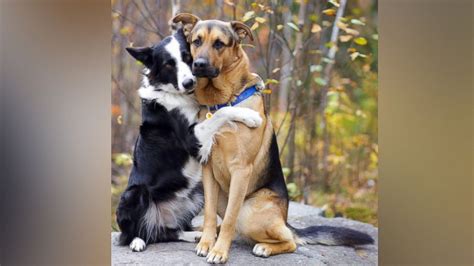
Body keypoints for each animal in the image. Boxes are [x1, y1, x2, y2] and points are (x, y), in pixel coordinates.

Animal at [116, 29, 262, 251]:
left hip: (198, 192)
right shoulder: (192, 139)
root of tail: (158, 219)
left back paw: (192, 235)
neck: (176, 94)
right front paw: (250, 116)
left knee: (167, 232)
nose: (189, 83)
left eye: (187, 57)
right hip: (132, 194)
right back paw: (137, 241)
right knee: (133, 233)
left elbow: (221, 110)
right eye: (168, 64)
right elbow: (222, 112)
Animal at [173, 13, 374, 264]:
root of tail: (284, 218)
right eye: (197, 41)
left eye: (219, 44)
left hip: (250, 211)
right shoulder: (208, 168)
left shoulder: (241, 170)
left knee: (290, 240)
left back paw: (265, 247)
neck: (223, 102)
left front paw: (219, 251)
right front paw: (207, 243)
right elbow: (210, 215)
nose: (198, 64)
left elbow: (229, 219)